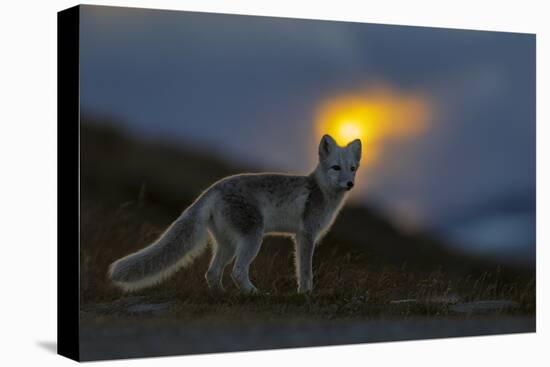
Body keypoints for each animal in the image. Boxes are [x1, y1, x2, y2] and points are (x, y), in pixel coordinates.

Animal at [110, 134, 364, 294]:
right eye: (336, 168)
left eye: (352, 168)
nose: (350, 184)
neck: (321, 190)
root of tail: (212, 189)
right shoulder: (306, 235)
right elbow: (305, 271)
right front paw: (306, 294)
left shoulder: (300, 236)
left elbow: (301, 270)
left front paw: (305, 293)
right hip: (252, 239)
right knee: (237, 271)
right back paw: (255, 294)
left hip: (228, 244)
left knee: (212, 273)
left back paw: (222, 296)